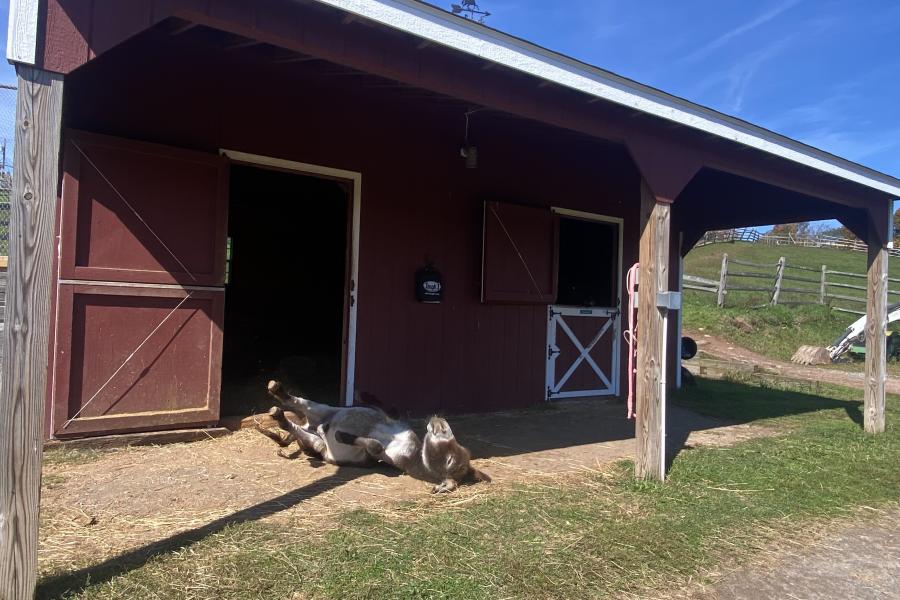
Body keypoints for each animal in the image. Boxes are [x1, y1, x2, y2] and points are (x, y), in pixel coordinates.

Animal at [258, 380, 492, 492]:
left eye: (451, 459)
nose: (439, 420)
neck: (413, 452)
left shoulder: (380, 457)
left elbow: (375, 446)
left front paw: (343, 436)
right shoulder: (395, 423)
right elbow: (386, 411)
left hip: (317, 440)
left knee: (295, 427)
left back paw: (279, 417)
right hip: (323, 410)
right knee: (300, 405)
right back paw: (277, 393)